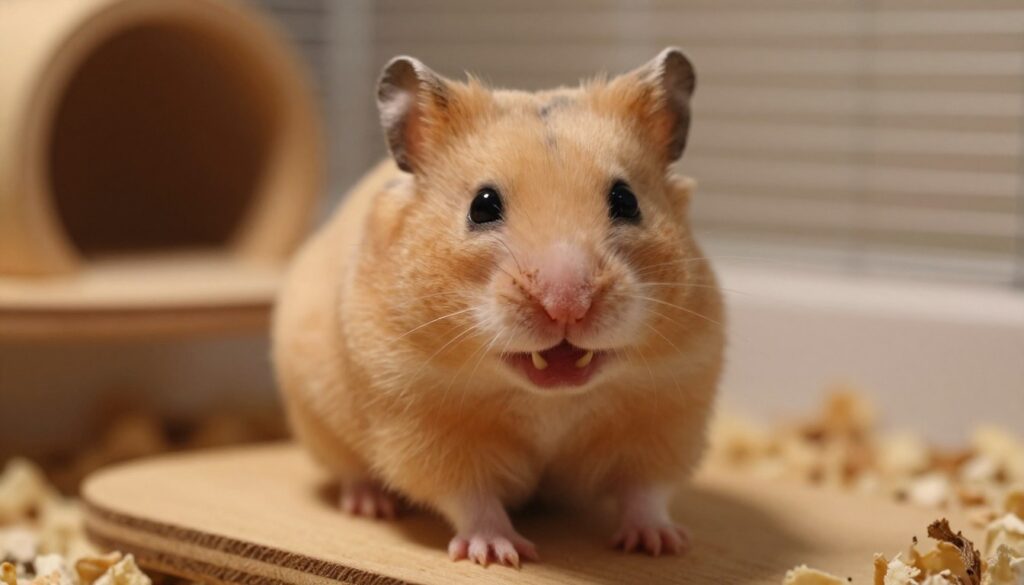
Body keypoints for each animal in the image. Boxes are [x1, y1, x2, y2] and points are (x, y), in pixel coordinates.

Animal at [271, 47, 724, 568]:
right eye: (482, 206)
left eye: (627, 200)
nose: (567, 305)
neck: (549, 400)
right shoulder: (425, 424)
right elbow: (471, 497)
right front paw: (498, 554)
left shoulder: (669, 408)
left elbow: (646, 491)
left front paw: (662, 544)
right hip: (318, 421)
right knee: (352, 472)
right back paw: (370, 505)